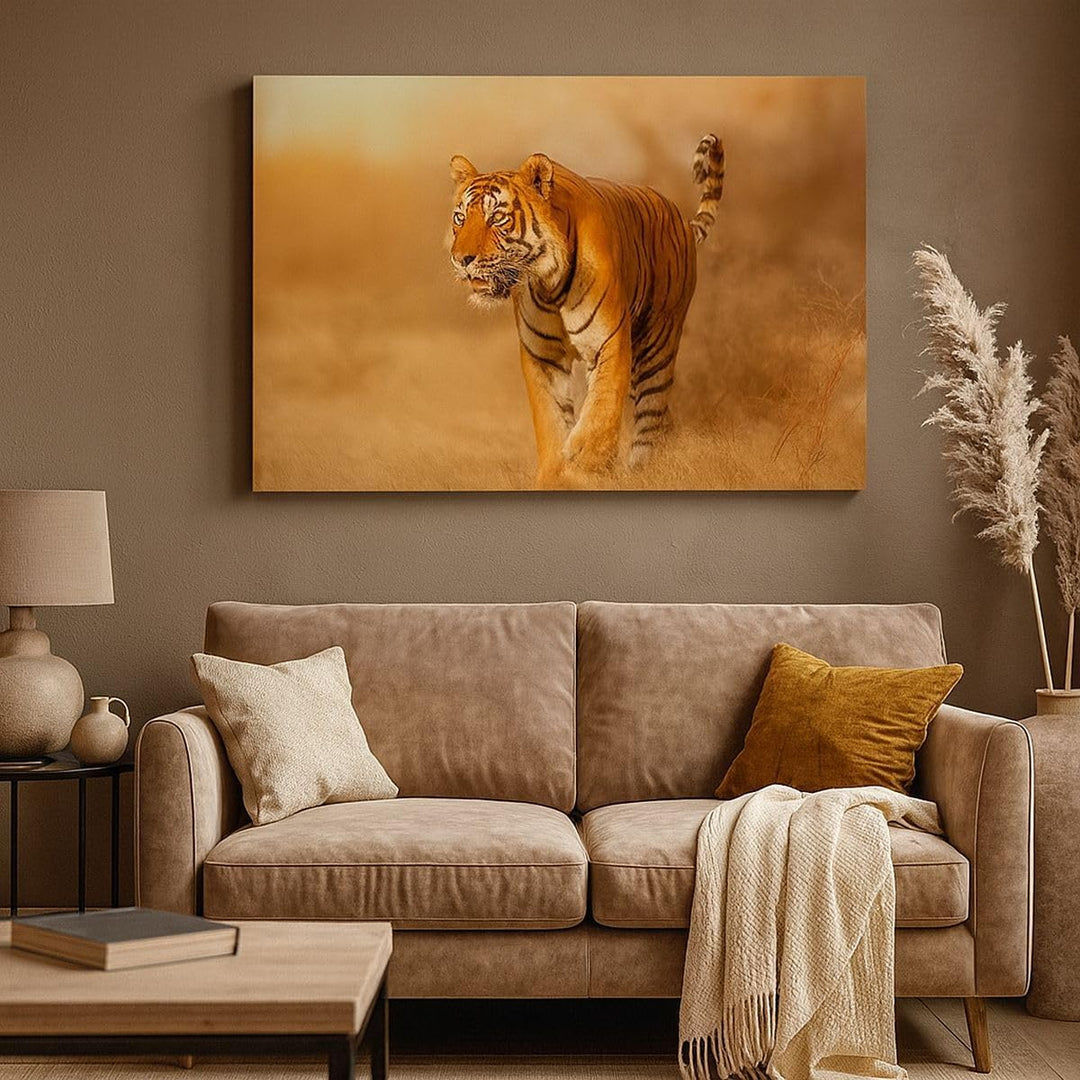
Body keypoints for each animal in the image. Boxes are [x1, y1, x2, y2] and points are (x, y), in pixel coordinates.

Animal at [448, 134, 725, 487]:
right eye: (459, 217)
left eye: (497, 217)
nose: (461, 259)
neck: (548, 283)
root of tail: (683, 220)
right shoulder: (542, 356)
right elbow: (550, 420)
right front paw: (555, 475)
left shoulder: (609, 342)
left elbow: (602, 407)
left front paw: (585, 463)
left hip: (657, 346)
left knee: (652, 417)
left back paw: (643, 472)